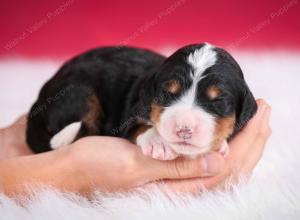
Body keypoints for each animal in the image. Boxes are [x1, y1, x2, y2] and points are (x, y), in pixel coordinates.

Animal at [25, 43, 256, 160]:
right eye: (167, 94)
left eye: (218, 101)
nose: (184, 129)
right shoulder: (126, 119)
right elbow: (140, 126)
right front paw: (158, 141)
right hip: (79, 92)